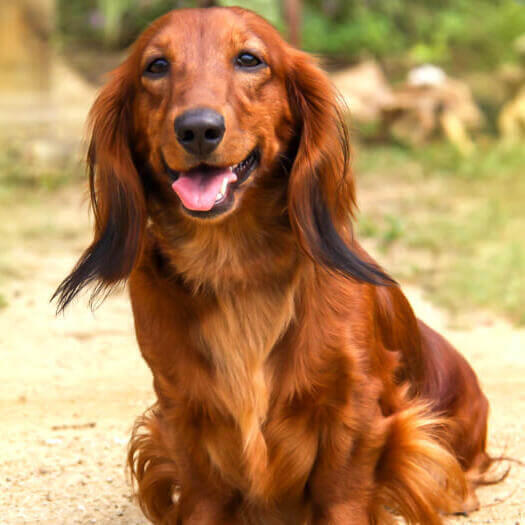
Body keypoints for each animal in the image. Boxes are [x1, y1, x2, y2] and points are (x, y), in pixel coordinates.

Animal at [55, 8, 494, 524]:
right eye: (156, 66)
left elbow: (342, 489)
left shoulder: (355, 405)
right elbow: (202, 488)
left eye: (249, 59)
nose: (198, 128)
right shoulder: (180, 407)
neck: (233, 266)